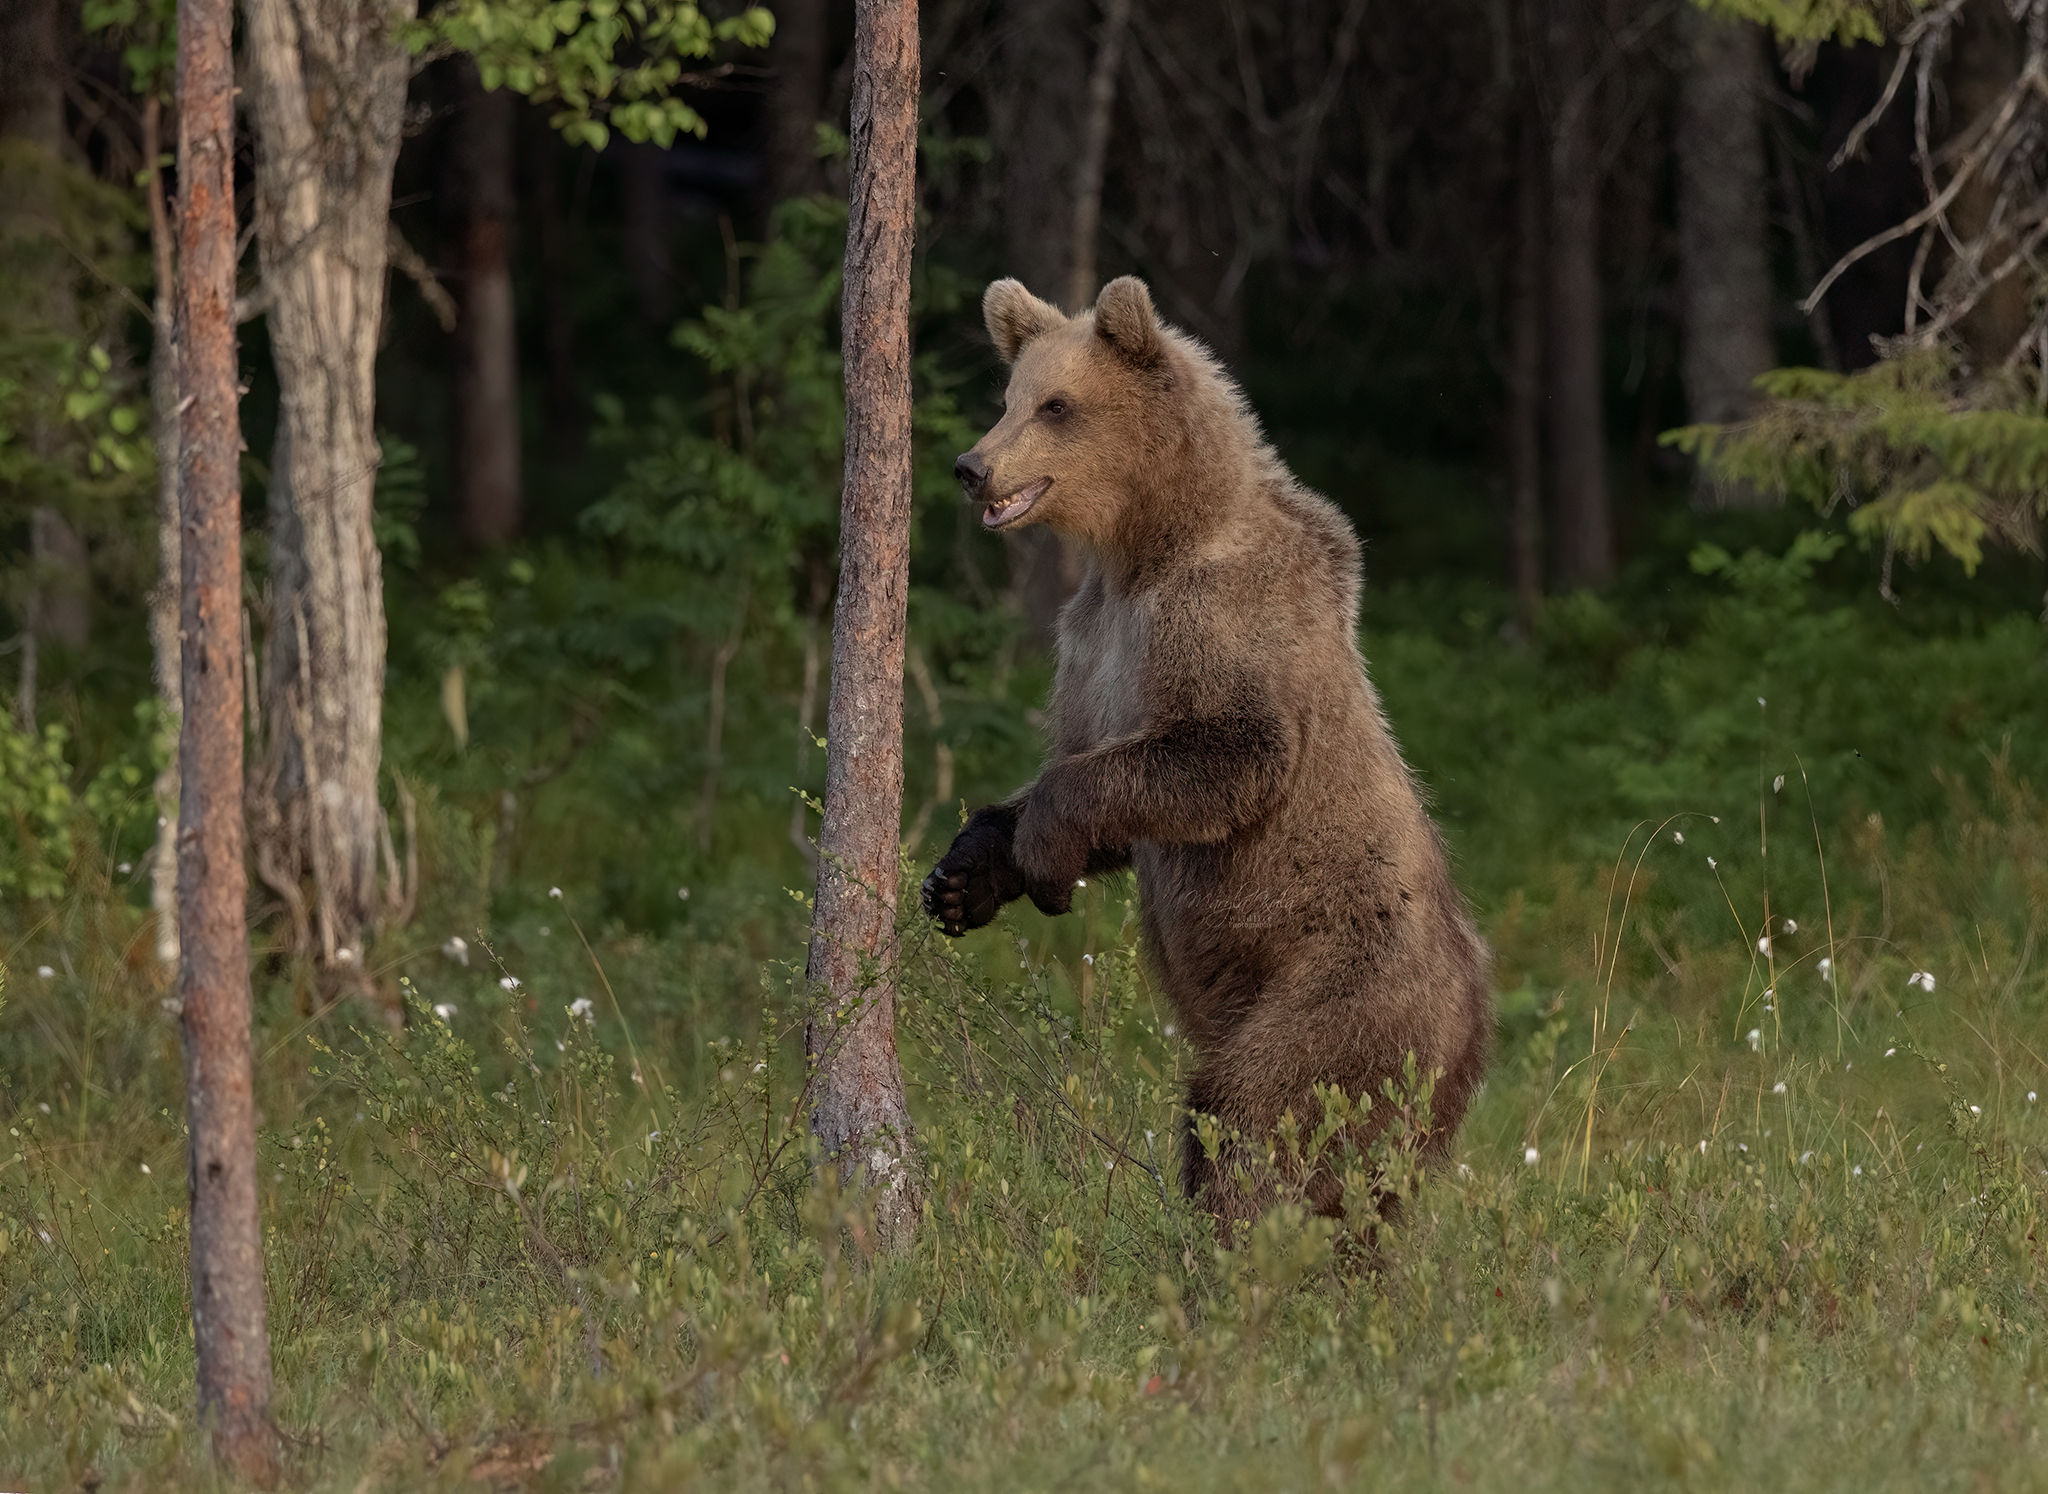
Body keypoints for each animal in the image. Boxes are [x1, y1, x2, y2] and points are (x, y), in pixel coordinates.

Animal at [921, 274, 1494, 1229]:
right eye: (1007, 397)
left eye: (1057, 405)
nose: (972, 467)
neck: (1144, 547)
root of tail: (1476, 1018)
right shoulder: (1090, 645)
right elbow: (1108, 786)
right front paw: (964, 877)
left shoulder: (1219, 619)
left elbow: (1227, 756)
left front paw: (1043, 851)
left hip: (1341, 989)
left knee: (1259, 1111)